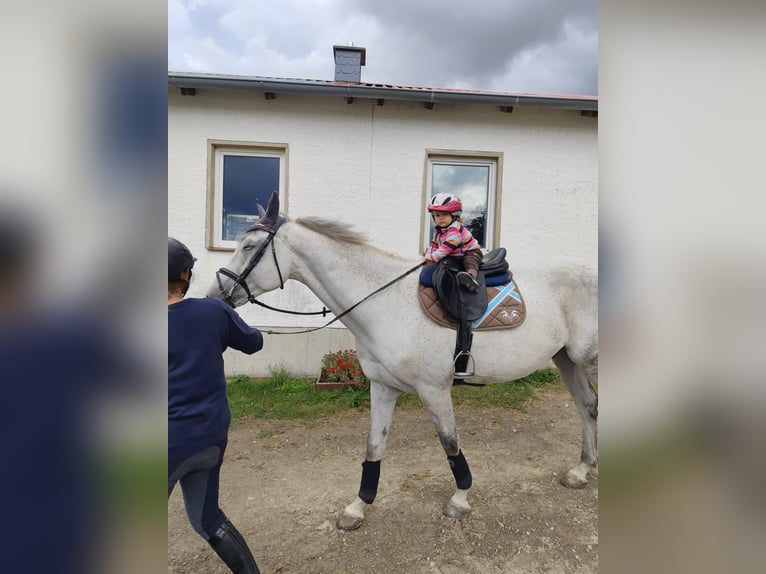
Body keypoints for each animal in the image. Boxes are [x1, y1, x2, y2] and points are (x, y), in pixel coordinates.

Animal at [207, 193, 598, 531]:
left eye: (248, 247)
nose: (216, 295)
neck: (384, 301)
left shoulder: (434, 390)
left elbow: (450, 443)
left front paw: (460, 499)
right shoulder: (382, 387)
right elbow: (374, 446)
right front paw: (358, 506)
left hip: (586, 359)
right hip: (566, 360)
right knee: (587, 406)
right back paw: (581, 470)